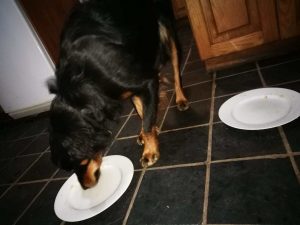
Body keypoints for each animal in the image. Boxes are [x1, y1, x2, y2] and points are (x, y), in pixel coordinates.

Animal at [48, 0, 189, 190]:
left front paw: (150, 151)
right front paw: (147, 133)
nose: (85, 187)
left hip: (167, 31)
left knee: (175, 69)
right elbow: (142, 111)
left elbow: (146, 121)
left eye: (78, 163)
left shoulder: (146, 82)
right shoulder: (135, 86)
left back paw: (180, 98)